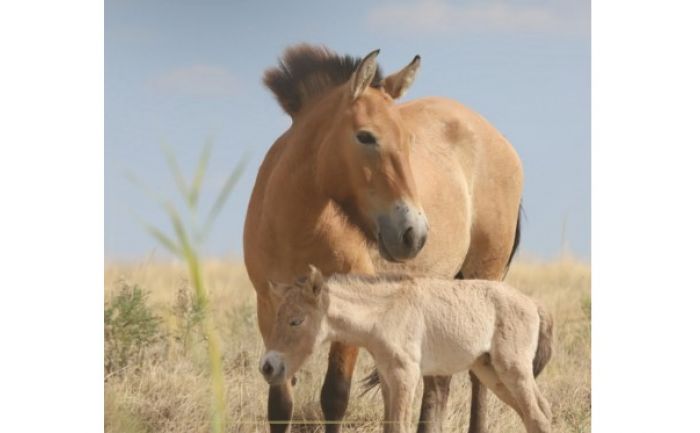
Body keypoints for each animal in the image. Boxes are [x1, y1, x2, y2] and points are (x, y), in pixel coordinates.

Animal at [243, 44, 523, 433]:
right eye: (365, 136)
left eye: (409, 141)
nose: (413, 234)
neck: (294, 230)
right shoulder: (269, 308)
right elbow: (280, 402)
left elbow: (334, 397)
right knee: (438, 383)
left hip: (485, 275)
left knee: (478, 375)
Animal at [259, 266, 554, 433]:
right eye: (276, 318)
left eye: (296, 321)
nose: (268, 367)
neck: (384, 313)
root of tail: (534, 304)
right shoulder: (388, 378)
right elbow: (389, 426)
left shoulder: (406, 375)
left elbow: (400, 426)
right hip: (491, 374)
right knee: (537, 414)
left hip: (512, 369)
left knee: (537, 417)